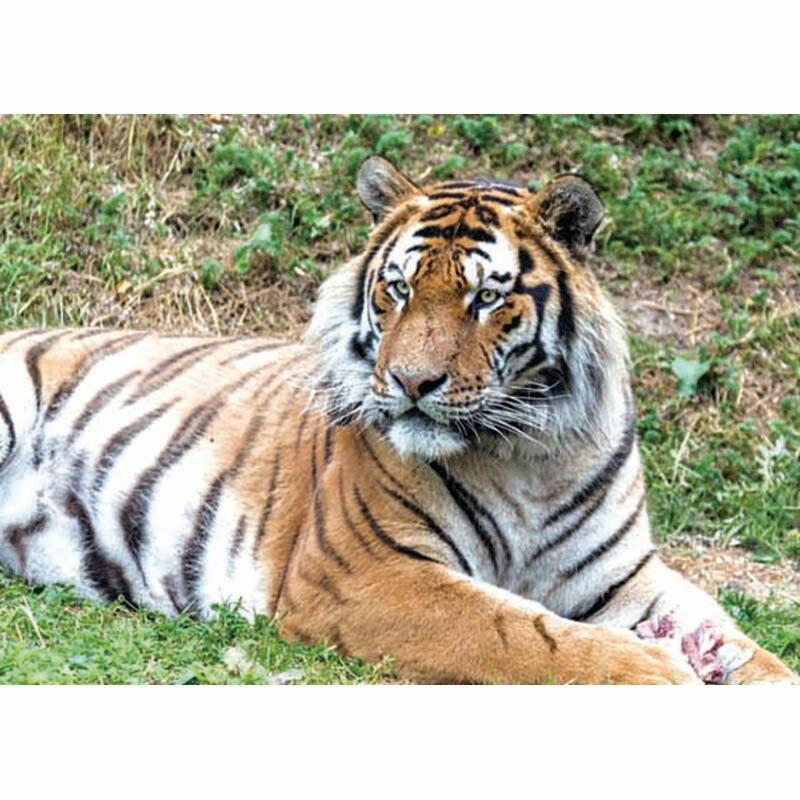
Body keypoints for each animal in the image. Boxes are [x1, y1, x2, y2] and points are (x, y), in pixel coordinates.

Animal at [0, 155, 796, 684]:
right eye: (400, 290)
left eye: (485, 298)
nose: (413, 383)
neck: (533, 452)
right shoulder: (367, 573)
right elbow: (519, 632)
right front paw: (658, 670)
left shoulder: (624, 578)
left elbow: (747, 647)